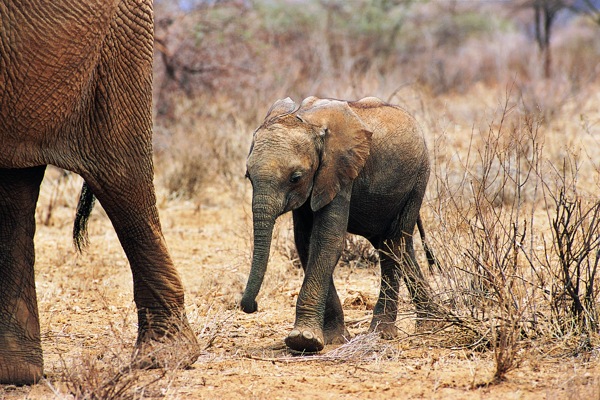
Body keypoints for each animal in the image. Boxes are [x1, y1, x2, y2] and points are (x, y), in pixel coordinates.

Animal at [240, 95, 440, 352]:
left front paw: (303, 340)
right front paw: (332, 338)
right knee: (401, 248)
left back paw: (381, 333)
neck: (307, 121)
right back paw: (429, 324)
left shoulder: (340, 172)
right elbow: (305, 243)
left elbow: (327, 242)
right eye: (248, 176)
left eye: (295, 178)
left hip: (418, 180)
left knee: (393, 246)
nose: (252, 306)